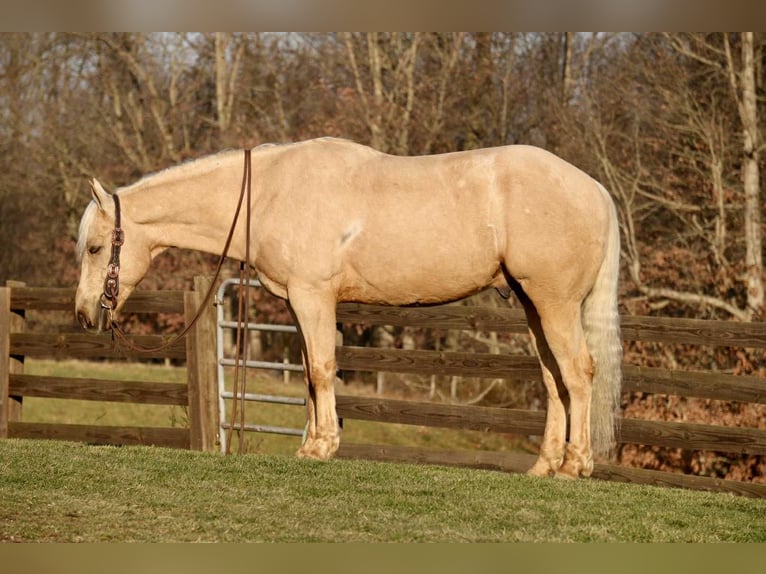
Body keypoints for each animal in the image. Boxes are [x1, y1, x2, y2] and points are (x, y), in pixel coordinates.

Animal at [75, 137, 622, 479]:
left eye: (95, 248)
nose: (84, 313)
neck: (271, 193)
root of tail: (595, 189)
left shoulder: (312, 296)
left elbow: (321, 369)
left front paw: (321, 448)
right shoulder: (300, 302)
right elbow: (309, 373)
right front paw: (312, 443)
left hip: (554, 304)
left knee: (578, 373)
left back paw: (574, 466)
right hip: (533, 306)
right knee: (553, 379)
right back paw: (544, 466)